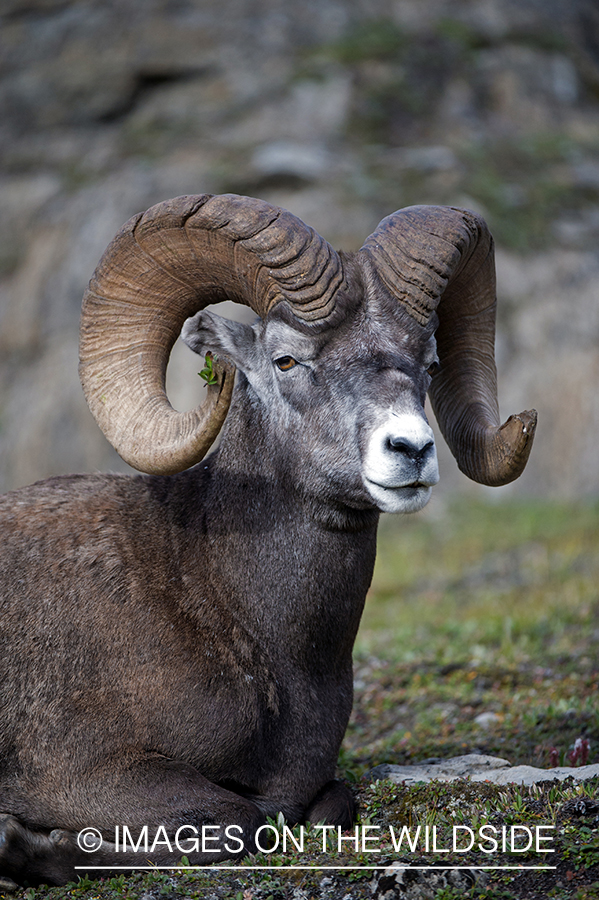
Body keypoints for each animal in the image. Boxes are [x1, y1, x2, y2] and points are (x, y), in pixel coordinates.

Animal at [0, 193, 536, 886]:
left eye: (431, 362)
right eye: (286, 360)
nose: (411, 449)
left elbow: (330, 803)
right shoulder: (87, 772)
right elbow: (240, 820)